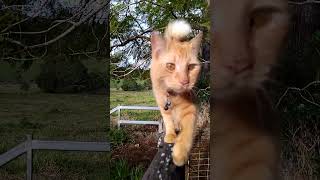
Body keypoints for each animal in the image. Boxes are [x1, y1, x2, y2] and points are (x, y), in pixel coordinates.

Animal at [150, 19, 202, 166]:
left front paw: (180, 153)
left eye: (191, 67)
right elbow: (169, 123)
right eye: (170, 66)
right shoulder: (163, 108)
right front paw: (170, 135)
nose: (185, 81)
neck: (173, 97)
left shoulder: (192, 110)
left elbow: (187, 133)